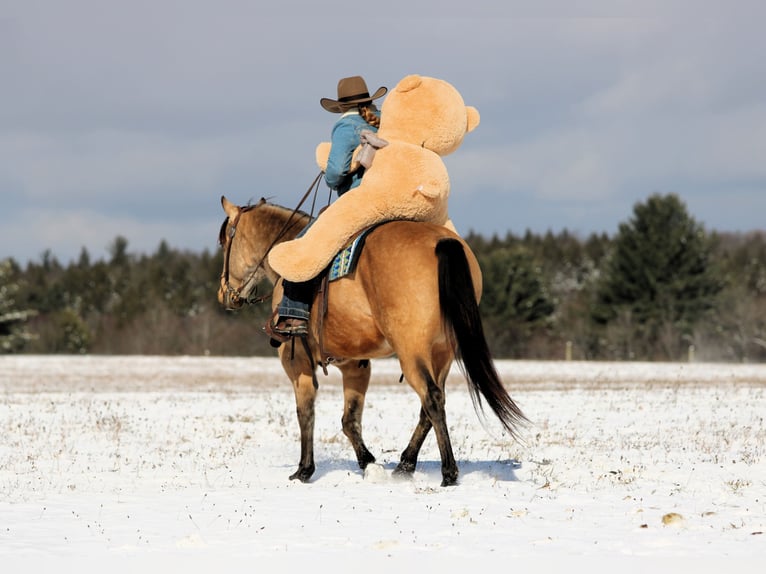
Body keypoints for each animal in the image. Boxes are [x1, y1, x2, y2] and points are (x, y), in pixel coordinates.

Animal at [217, 195, 527, 486]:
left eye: (224, 242)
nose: (225, 295)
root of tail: (442, 241)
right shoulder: (356, 365)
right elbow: (350, 420)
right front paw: (369, 464)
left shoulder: (297, 362)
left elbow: (306, 411)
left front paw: (304, 470)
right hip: (442, 354)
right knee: (430, 405)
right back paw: (405, 465)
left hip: (411, 352)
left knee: (432, 399)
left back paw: (448, 472)